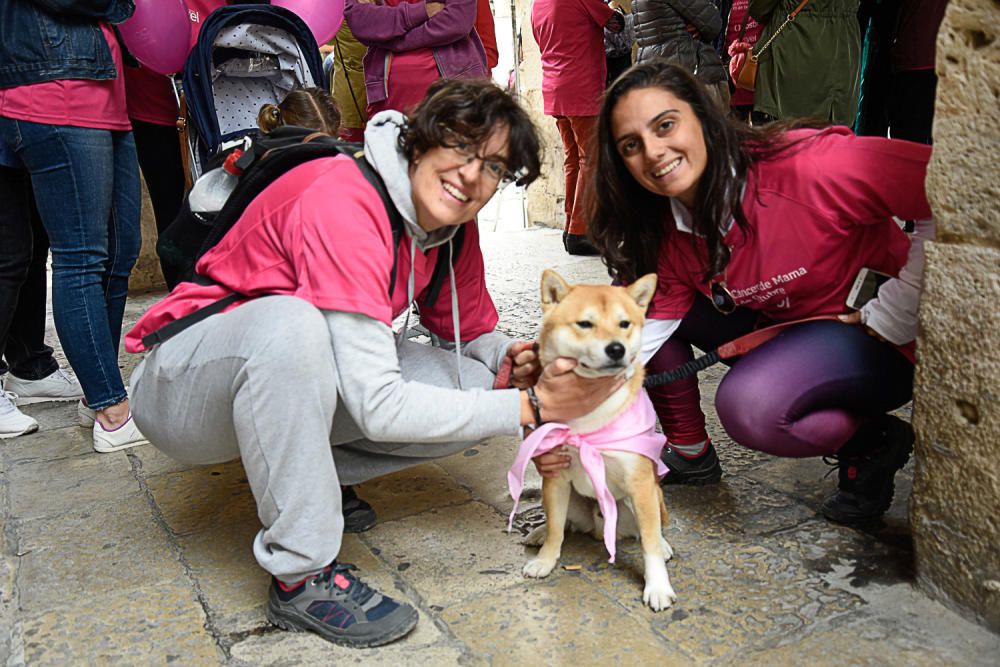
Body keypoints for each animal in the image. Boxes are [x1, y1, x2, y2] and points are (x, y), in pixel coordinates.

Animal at [512, 268, 676, 612]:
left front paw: (657, 586)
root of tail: (601, 529)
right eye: (585, 324)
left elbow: (650, 543)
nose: (616, 349)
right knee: (563, 523)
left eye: (624, 324)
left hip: (646, 497)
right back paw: (538, 532)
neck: (590, 413)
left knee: (652, 528)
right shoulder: (556, 477)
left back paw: (665, 544)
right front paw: (546, 560)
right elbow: (556, 531)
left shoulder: (640, 484)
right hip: (570, 500)